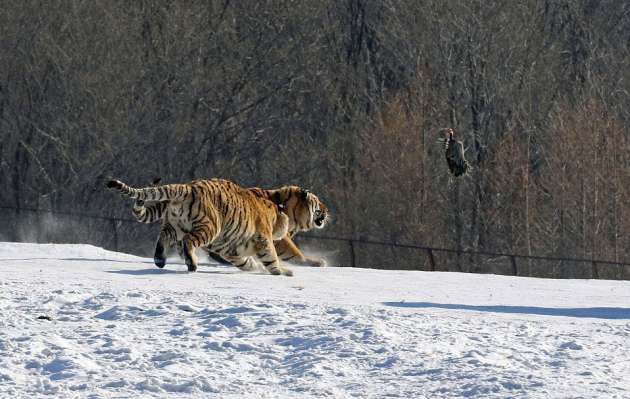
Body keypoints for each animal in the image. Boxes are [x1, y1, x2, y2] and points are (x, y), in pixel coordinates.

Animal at [107, 179, 296, 276]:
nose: (287, 229)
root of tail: (187, 187)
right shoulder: (262, 239)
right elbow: (271, 258)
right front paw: (283, 272)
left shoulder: (233, 251)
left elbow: (247, 262)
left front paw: (257, 268)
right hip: (209, 227)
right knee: (188, 241)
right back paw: (192, 263)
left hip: (174, 226)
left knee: (162, 238)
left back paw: (160, 259)